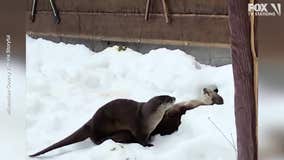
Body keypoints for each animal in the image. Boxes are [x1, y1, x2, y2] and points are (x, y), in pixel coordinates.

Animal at [29, 95, 175, 157]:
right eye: (168, 99)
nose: (174, 97)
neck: (149, 119)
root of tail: (91, 121)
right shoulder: (138, 127)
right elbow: (140, 140)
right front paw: (148, 145)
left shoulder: (148, 130)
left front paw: (150, 139)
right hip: (101, 125)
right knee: (94, 138)